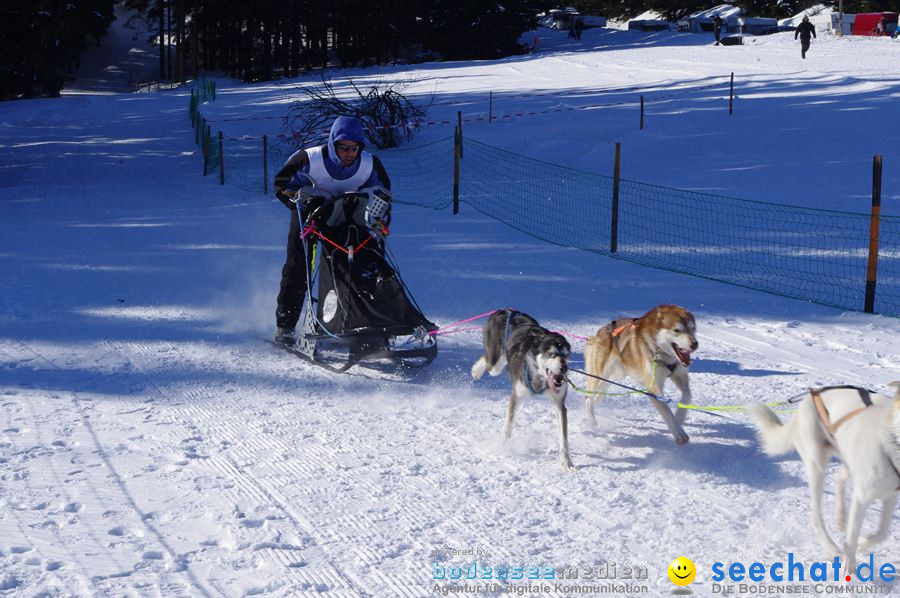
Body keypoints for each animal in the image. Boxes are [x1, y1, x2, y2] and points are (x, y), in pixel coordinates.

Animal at [474, 312, 572, 472]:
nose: (564, 368)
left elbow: (563, 439)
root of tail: (506, 310)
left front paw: (566, 461)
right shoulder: (516, 397)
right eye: (552, 354)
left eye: (565, 355)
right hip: (495, 363)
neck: (540, 376)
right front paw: (502, 447)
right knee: (488, 359)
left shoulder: (560, 406)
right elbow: (507, 427)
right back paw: (476, 371)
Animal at [580, 304, 700, 446]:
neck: (661, 352)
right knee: (588, 397)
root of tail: (600, 332)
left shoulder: (679, 375)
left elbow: (687, 396)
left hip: (615, 375)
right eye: (677, 330)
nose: (695, 344)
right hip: (600, 374)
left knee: (599, 392)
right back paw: (592, 422)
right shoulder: (653, 387)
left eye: (692, 328)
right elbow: (666, 411)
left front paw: (679, 417)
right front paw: (678, 433)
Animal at [748, 384, 900, 576]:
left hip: (845, 456)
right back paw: (832, 548)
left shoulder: (890, 496)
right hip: (817, 466)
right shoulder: (862, 497)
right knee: (816, 517)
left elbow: (883, 532)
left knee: (840, 479)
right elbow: (852, 535)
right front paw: (848, 565)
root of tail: (810, 396)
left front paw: (864, 543)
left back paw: (841, 518)